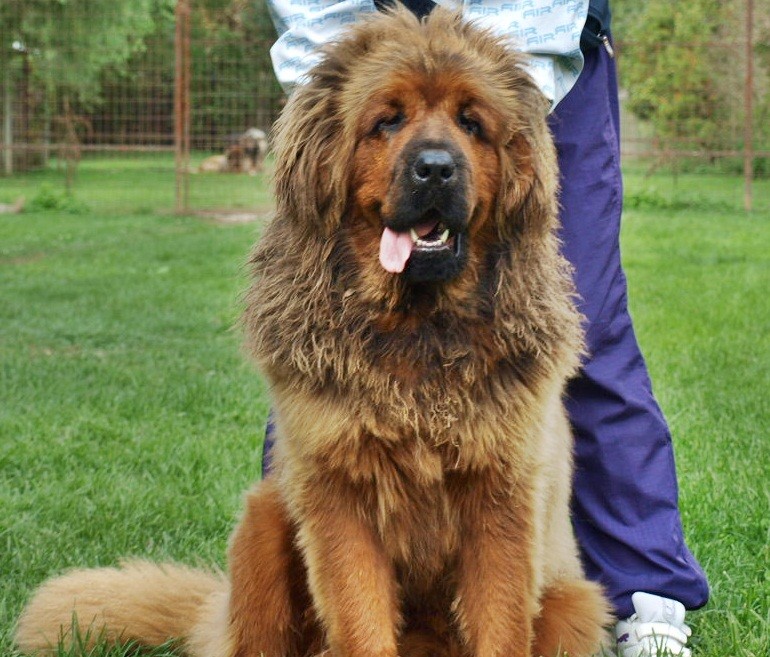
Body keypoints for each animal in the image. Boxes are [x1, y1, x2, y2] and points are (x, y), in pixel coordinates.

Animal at [16, 9, 611, 657]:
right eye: (387, 120)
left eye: (472, 123)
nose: (435, 168)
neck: (415, 332)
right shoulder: (338, 497)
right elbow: (360, 619)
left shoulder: (501, 500)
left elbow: (498, 623)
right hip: (264, 519)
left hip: (575, 602)